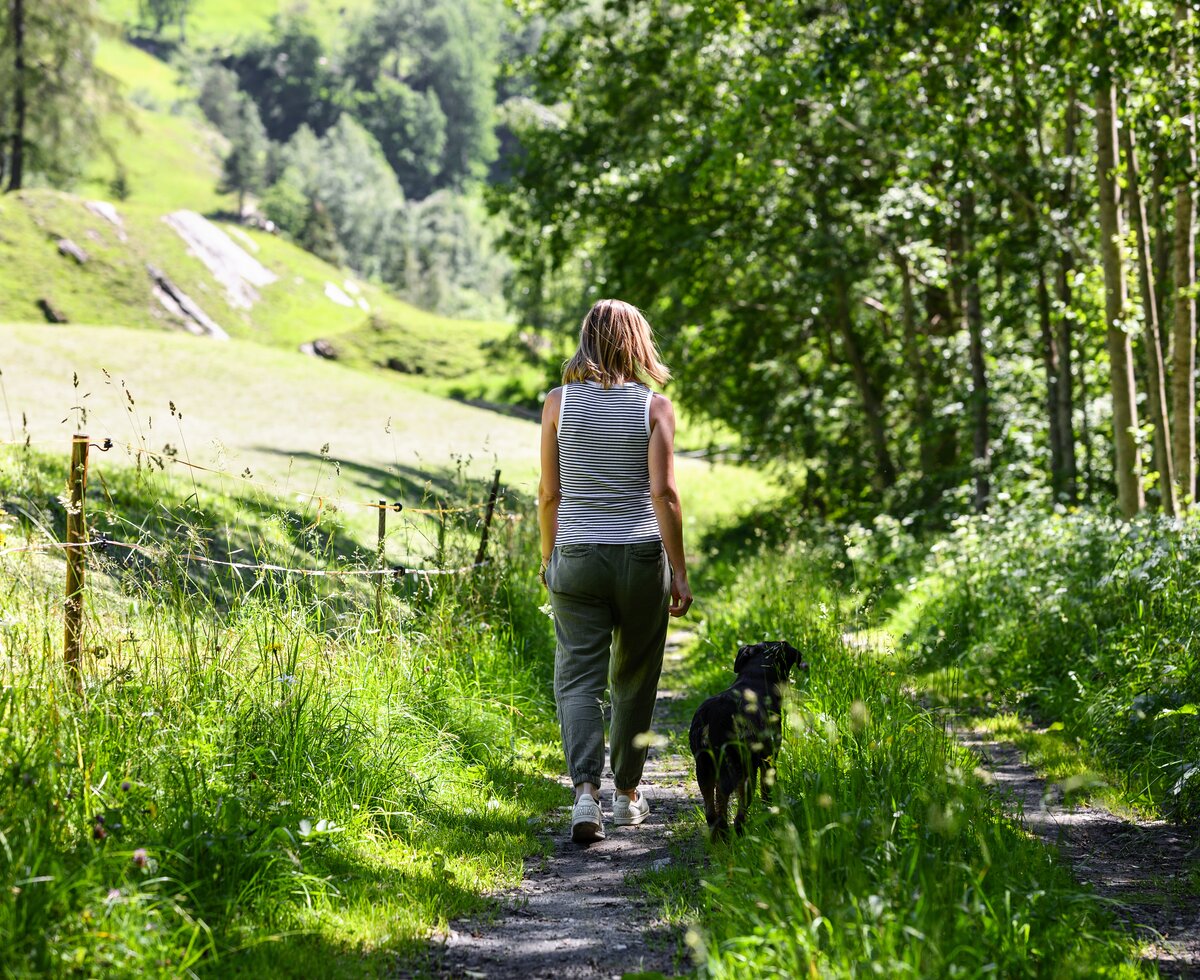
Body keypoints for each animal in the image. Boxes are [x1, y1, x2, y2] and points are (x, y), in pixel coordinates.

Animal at [686, 638, 806, 839]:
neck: (755, 677)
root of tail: (712, 716)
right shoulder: (768, 761)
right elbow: (766, 795)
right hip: (743, 770)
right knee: (734, 811)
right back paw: (736, 834)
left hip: (704, 769)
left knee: (711, 812)